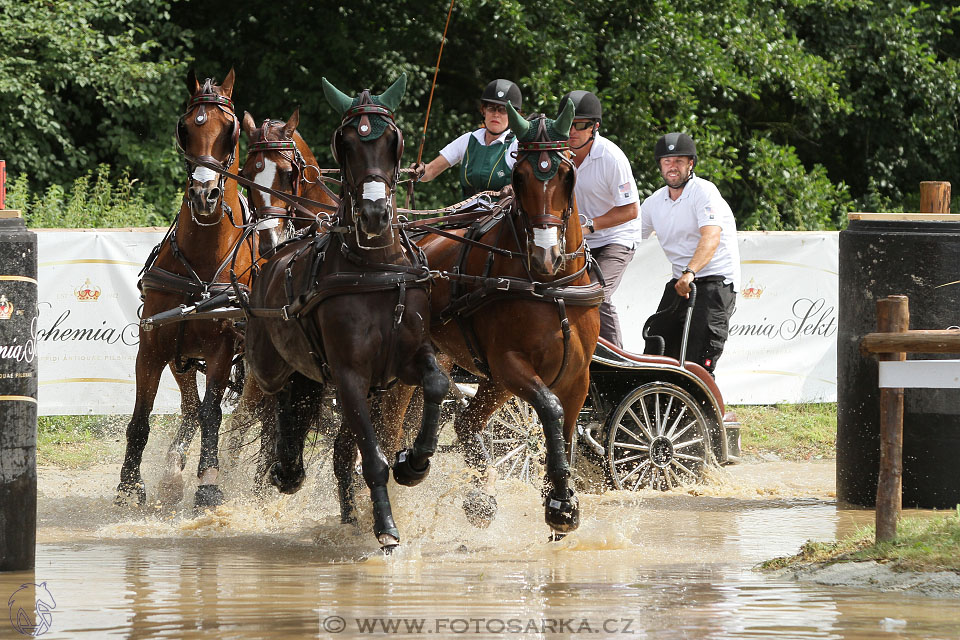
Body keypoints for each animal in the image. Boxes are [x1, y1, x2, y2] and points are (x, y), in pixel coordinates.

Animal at [115, 69, 258, 510]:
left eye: (230, 130)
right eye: (185, 128)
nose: (203, 195)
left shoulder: (221, 350)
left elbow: (213, 415)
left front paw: (209, 483)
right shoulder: (153, 346)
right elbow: (140, 419)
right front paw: (130, 485)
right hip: (182, 358)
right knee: (191, 410)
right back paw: (171, 475)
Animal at [242, 75, 448, 552]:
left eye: (392, 141)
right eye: (347, 144)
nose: (374, 213)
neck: (373, 267)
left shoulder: (408, 361)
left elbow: (436, 383)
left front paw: (414, 464)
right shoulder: (350, 375)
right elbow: (370, 457)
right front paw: (386, 527)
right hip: (268, 366)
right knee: (279, 396)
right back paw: (287, 467)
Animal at [374, 102, 600, 536]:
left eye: (567, 176)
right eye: (519, 176)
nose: (546, 256)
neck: (551, 287)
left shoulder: (576, 376)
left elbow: (566, 428)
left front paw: (561, 499)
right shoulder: (511, 365)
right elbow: (550, 410)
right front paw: (559, 502)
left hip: (476, 372)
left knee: (464, 421)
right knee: (394, 423)